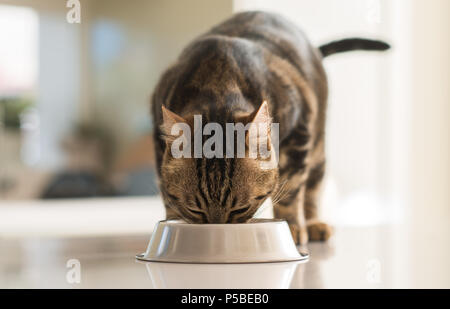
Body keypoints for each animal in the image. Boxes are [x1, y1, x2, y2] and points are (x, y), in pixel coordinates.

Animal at [151, 10, 390, 244]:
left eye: (240, 209)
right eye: (195, 210)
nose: (217, 232)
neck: (218, 82)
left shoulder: (299, 134)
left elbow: (291, 188)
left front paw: (292, 227)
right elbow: (167, 195)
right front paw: (172, 221)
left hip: (317, 147)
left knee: (313, 187)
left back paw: (313, 224)